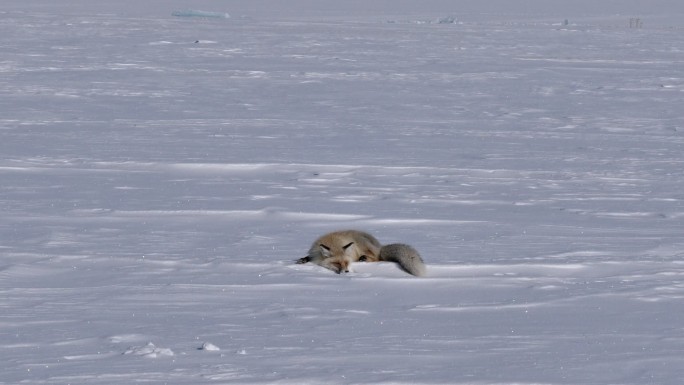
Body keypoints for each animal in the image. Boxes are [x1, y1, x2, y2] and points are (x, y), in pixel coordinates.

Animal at [296, 230, 424, 274]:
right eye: (336, 263)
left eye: (346, 263)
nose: (346, 272)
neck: (333, 242)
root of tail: (379, 246)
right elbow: (307, 258)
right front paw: (302, 260)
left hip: (362, 245)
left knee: (376, 258)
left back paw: (363, 258)